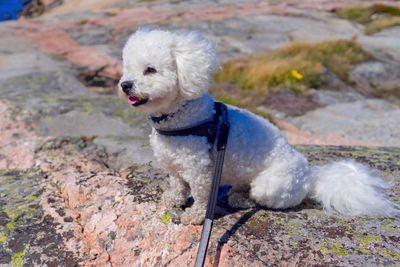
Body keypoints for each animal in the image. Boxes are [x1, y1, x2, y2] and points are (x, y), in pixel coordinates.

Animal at [119, 28, 400, 226]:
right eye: (127, 69)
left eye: (150, 70)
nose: (124, 85)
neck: (181, 115)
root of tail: (310, 178)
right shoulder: (175, 166)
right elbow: (177, 185)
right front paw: (171, 199)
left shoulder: (199, 171)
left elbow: (200, 196)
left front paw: (195, 216)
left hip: (270, 185)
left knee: (262, 198)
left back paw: (243, 200)